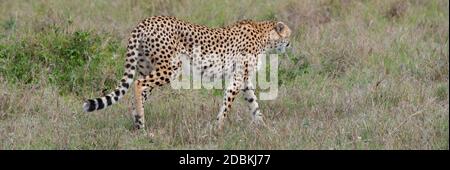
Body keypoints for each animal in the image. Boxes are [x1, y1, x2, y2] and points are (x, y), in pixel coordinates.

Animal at [81, 15, 292, 130]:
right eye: (288, 35)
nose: (290, 44)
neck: (263, 34)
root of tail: (146, 20)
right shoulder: (237, 79)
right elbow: (227, 105)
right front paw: (217, 127)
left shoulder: (244, 80)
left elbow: (253, 103)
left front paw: (263, 126)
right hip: (170, 68)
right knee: (139, 85)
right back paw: (141, 123)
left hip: (145, 67)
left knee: (137, 91)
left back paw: (137, 124)